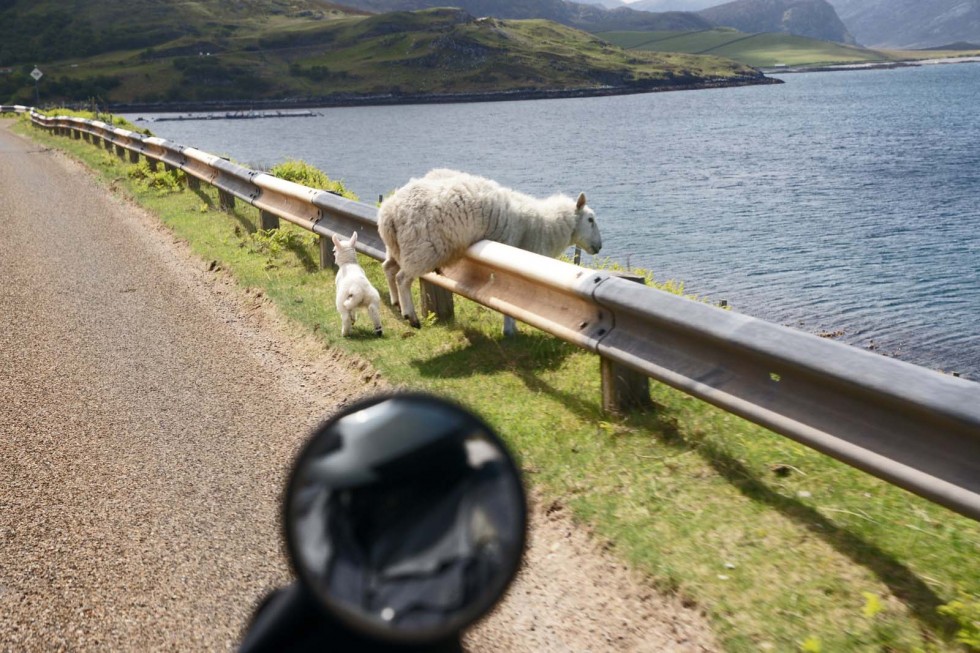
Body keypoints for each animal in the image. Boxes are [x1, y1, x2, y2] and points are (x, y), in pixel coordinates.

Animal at [378, 168, 600, 334]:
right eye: (590, 219)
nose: (599, 246)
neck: (545, 224)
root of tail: (389, 212)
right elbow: (511, 301)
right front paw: (510, 329)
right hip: (421, 250)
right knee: (402, 278)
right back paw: (411, 316)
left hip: (398, 248)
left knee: (388, 268)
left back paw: (396, 302)